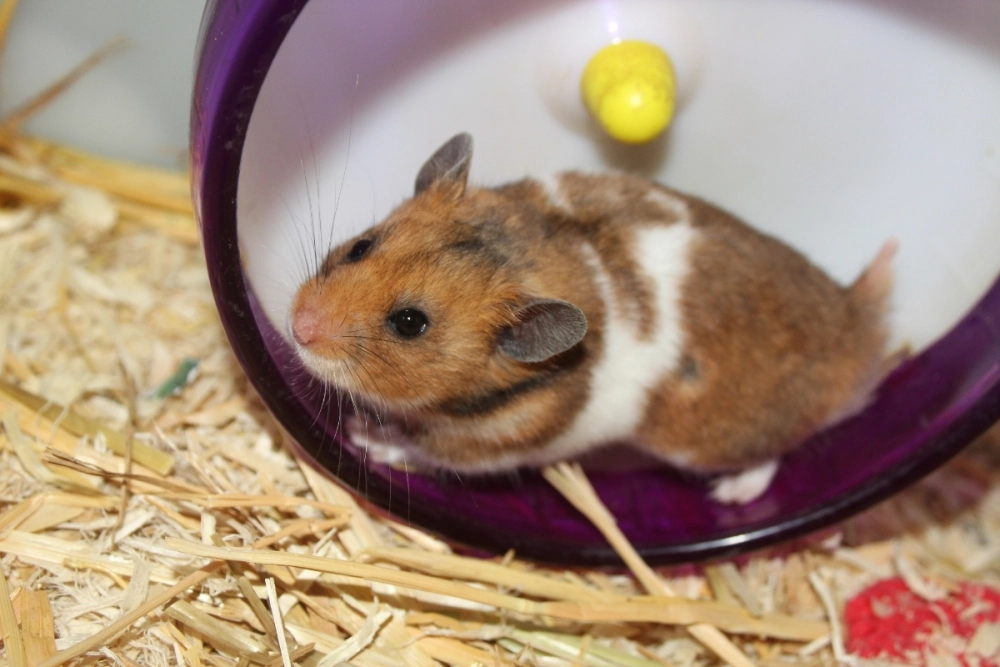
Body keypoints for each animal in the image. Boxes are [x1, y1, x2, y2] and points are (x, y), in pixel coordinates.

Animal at [289, 133, 895, 504]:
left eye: (410, 323)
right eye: (362, 246)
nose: (297, 327)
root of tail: (857, 330)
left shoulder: (490, 446)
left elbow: (418, 447)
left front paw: (364, 434)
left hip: (713, 440)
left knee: (776, 454)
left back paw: (730, 494)